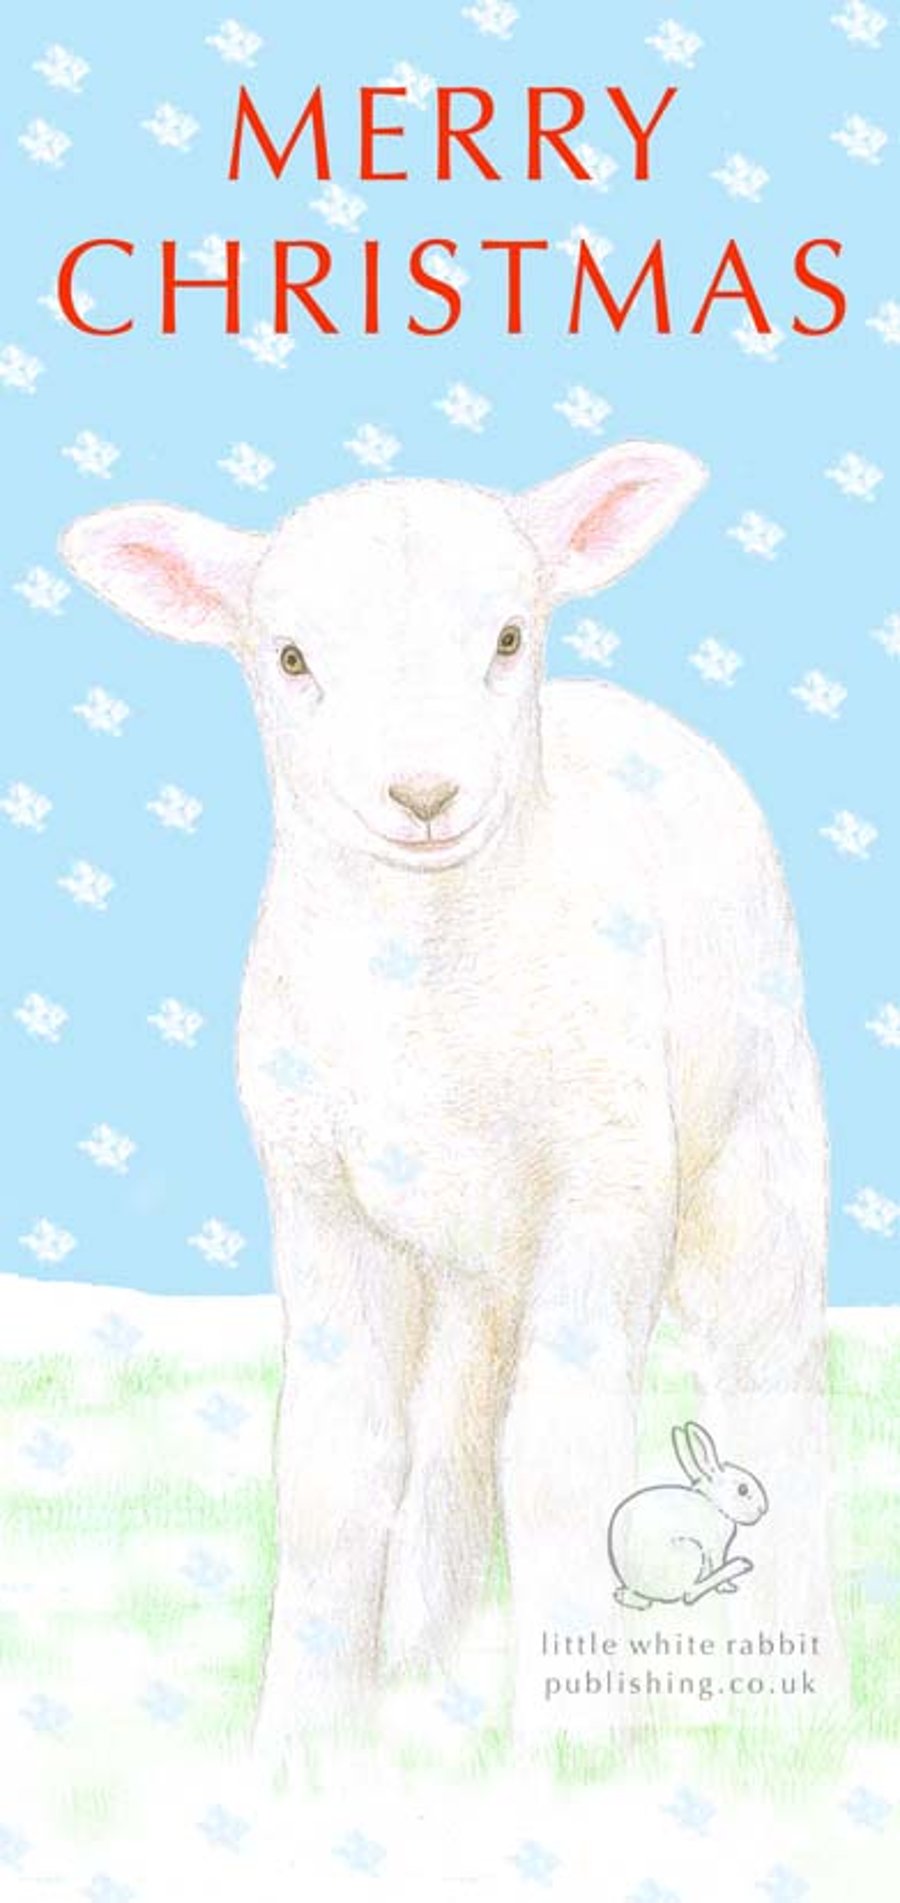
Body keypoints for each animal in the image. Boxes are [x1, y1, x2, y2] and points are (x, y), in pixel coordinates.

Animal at [61, 442, 842, 1762]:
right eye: (291, 657)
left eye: (510, 635)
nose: (424, 793)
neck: (426, 989)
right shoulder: (321, 1207)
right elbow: (334, 1471)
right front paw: (302, 1745)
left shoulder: (609, 1183)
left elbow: (565, 1459)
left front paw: (573, 1752)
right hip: (474, 1264)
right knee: (458, 1434)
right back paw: (427, 1662)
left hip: (753, 1160)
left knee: (769, 1388)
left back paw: (806, 1706)